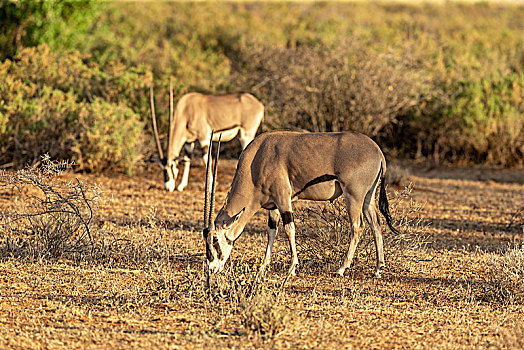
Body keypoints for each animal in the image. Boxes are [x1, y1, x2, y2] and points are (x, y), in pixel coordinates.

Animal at [203, 130, 400, 278]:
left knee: (357, 227)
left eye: (215, 240)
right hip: (368, 197)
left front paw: (292, 267)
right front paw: (263, 266)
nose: (212, 268)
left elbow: (289, 230)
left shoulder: (283, 199)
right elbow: (271, 231)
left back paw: (342, 268)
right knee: (376, 225)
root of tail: (378, 152)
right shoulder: (273, 205)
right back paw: (378, 268)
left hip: (353, 196)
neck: (255, 162)